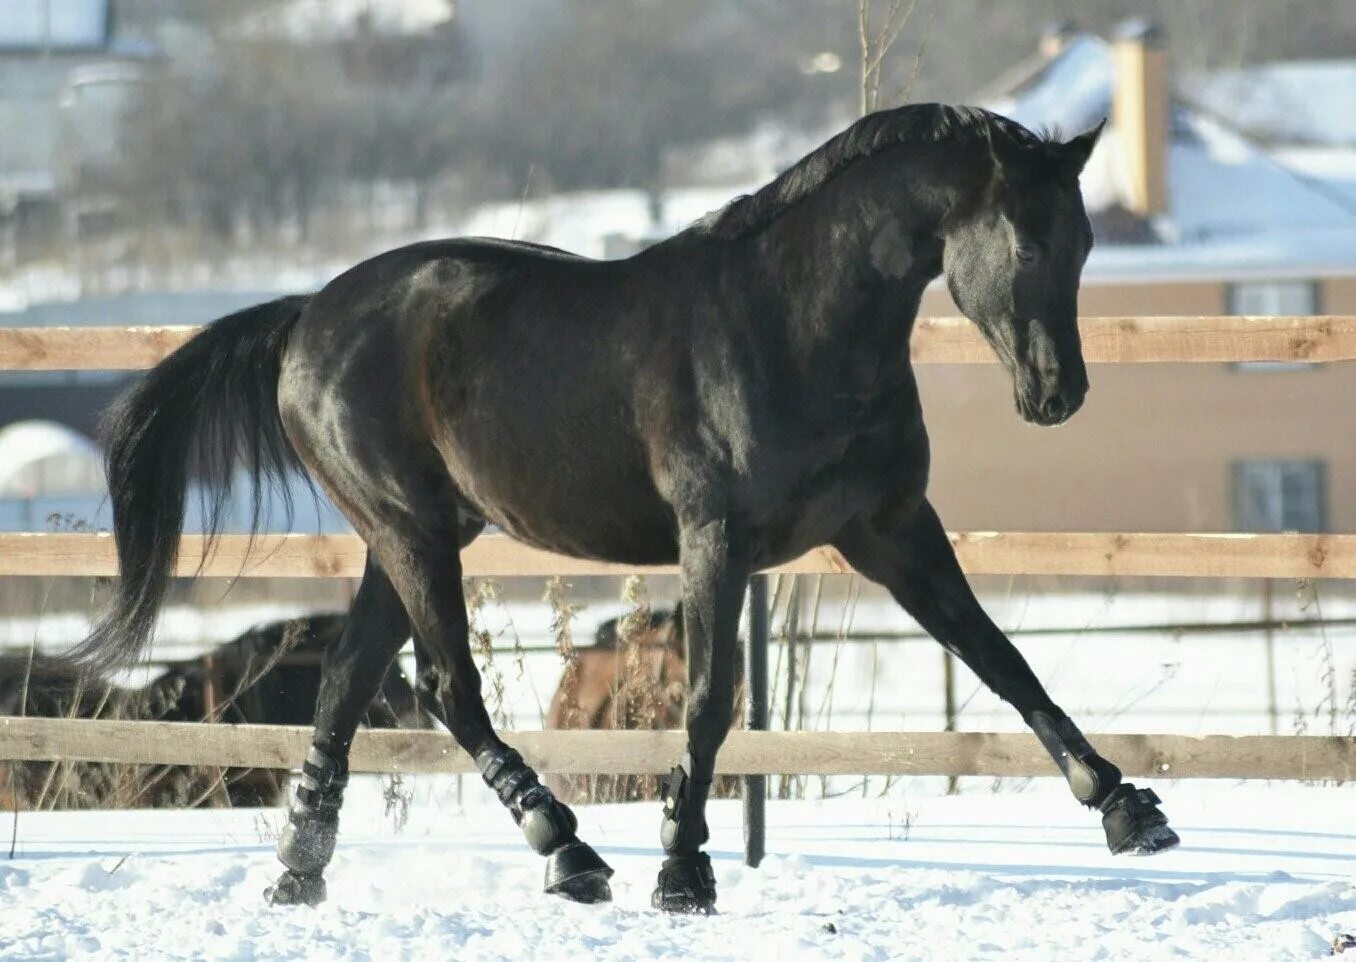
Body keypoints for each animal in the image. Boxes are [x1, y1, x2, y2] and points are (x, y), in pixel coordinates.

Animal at [68, 103, 1177, 917]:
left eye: (1082, 241)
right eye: (1025, 240)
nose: (1057, 393)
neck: (793, 322)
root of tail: (305, 318)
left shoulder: (892, 527)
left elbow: (999, 657)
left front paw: (1127, 808)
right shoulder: (716, 538)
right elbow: (711, 700)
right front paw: (683, 872)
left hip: (406, 535)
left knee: (348, 683)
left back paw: (301, 872)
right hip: (412, 530)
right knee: (447, 685)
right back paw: (566, 851)